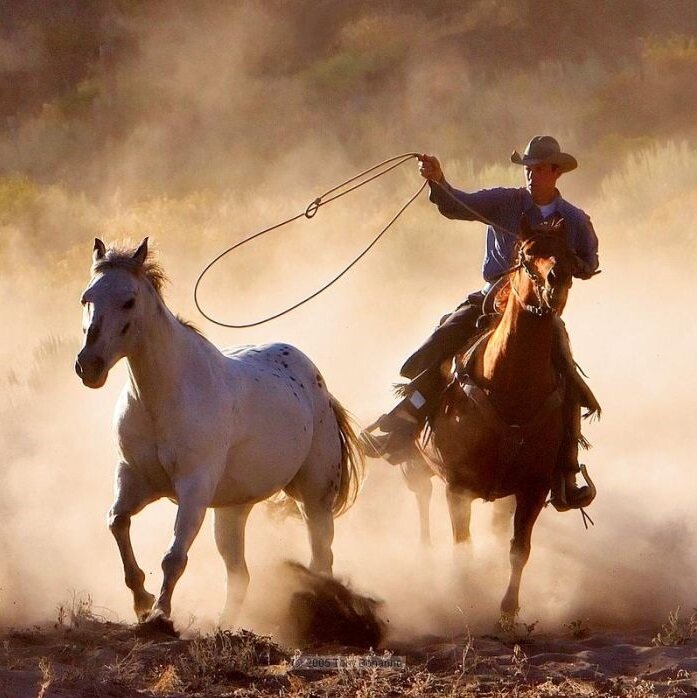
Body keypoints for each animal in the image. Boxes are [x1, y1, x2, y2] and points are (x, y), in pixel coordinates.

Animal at [73, 237, 362, 628]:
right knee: (240, 573)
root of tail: (319, 386)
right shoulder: (133, 478)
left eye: (129, 301)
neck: (163, 398)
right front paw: (141, 600)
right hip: (232, 510)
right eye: (86, 298)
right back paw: (226, 624)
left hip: (314, 497)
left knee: (321, 558)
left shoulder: (194, 488)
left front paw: (160, 615)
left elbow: (174, 556)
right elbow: (116, 522)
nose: (89, 365)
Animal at [402, 216, 588, 616]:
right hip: (416, 465)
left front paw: (507, 611)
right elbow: (462, 547)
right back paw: (424, 556)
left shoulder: (533, 488)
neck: (511, 385)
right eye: (528, 252)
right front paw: (464, 596)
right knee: (422, 499)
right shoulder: (457, 488)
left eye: (568, 253)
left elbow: (519, 550)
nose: (558, 279)